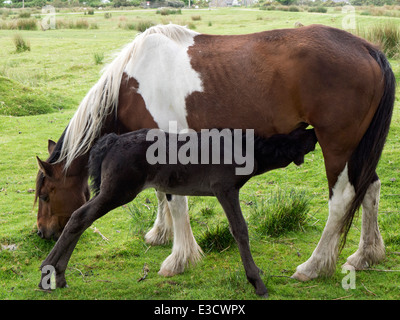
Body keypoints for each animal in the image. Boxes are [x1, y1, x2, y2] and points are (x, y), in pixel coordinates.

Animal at [36, 25, 396, 284]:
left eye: (45, 194)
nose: (42, 232)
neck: (131, 82)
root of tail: (367, 48)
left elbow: (174, 200)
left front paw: (179, 258)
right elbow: (160, 194)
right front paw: (160, 234)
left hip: (338, 146)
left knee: (343, 198)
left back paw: (314, 266)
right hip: (357, 148)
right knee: (370, 188)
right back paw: (365, 256)